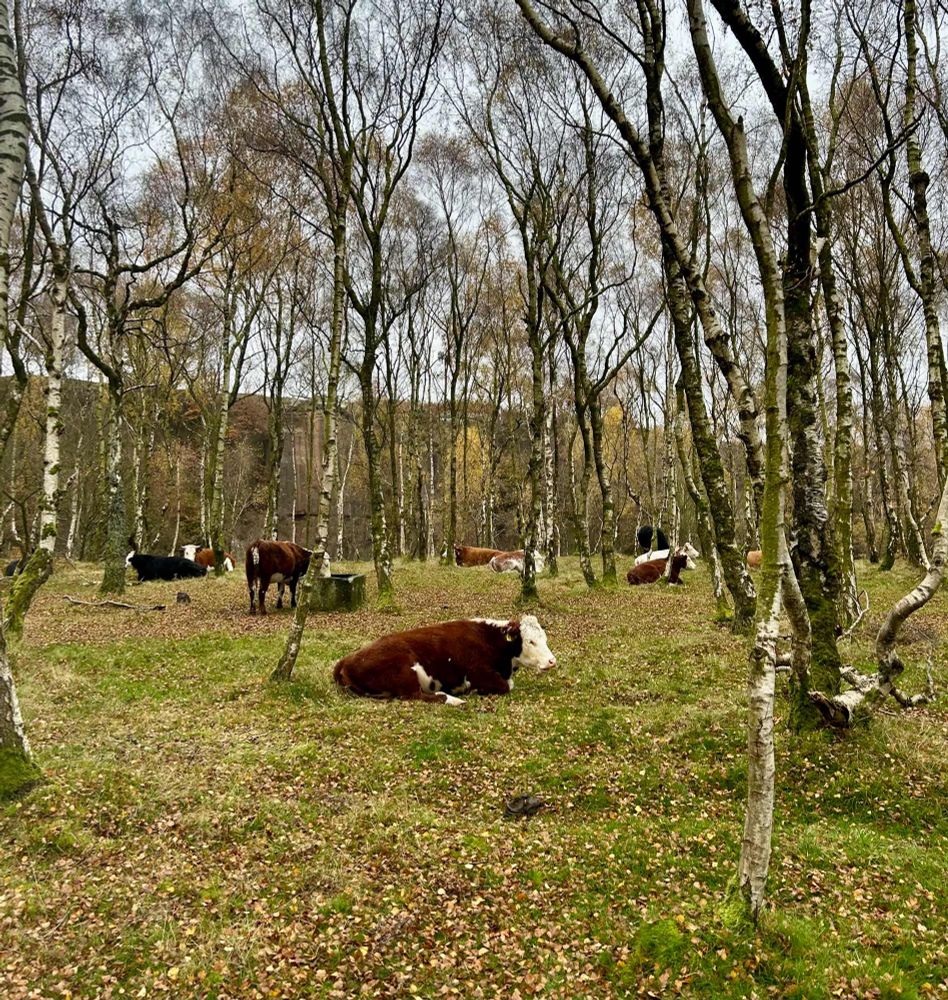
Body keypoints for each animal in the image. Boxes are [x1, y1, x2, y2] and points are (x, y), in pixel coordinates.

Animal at [333, 615, 556, 706]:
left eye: (545, 638)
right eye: (531, 641)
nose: (552, 661)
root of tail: (346, 659)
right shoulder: (478, 674)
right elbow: (506, 686)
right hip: (404, 670)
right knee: (416, 696)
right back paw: (455, 699)